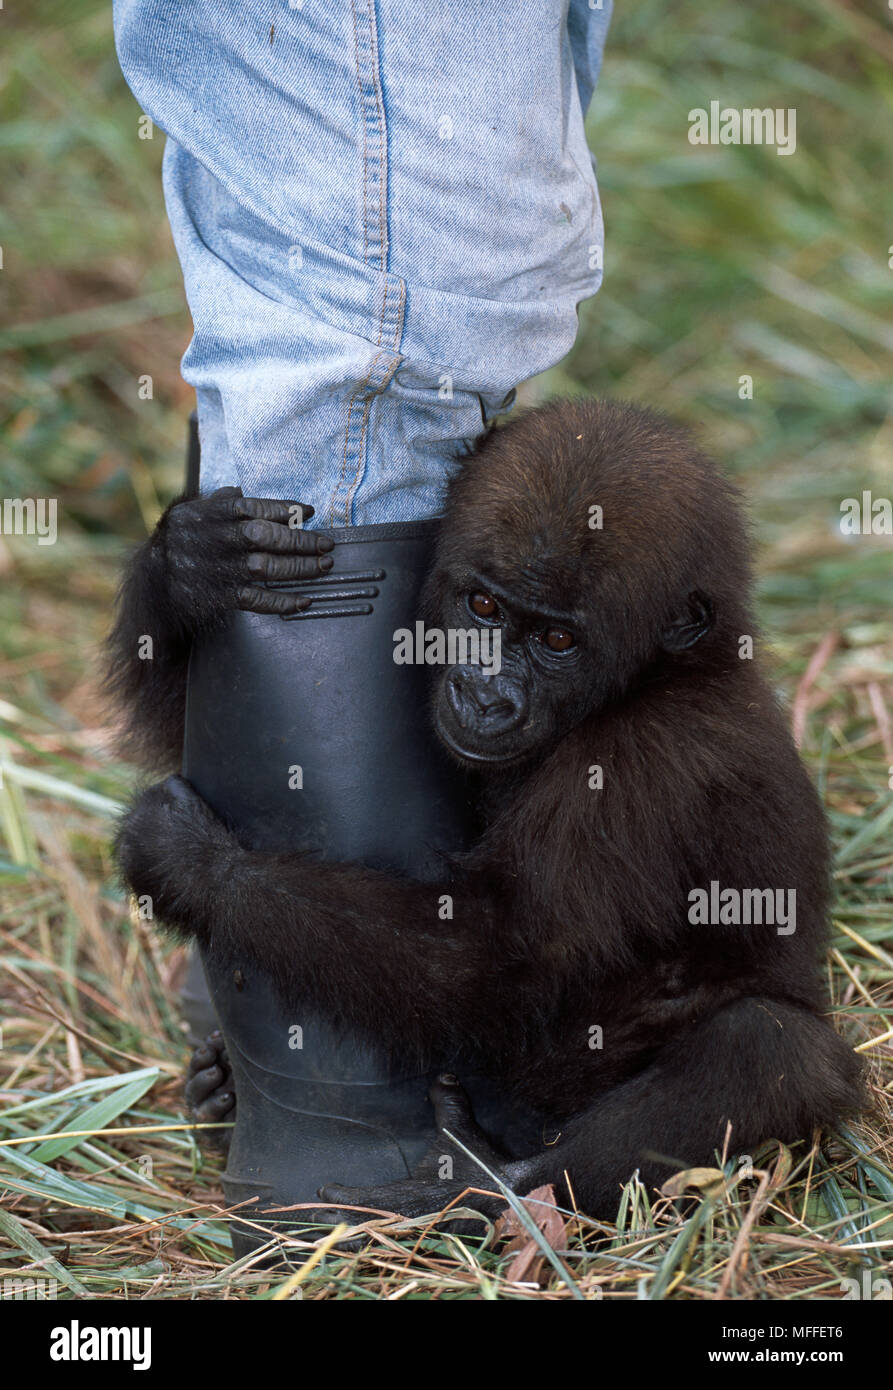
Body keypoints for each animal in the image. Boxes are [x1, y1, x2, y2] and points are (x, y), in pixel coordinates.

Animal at [110, 398, 864, 1223]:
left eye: (557, 640)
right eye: (481, 607)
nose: (481, 695)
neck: (658, 674)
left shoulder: (644, 759)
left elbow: (507, 954)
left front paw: (199, 868)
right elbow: (193, 716)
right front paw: (187, 566)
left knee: (768, 1046)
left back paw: (488, 1182)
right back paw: (219, 1093)